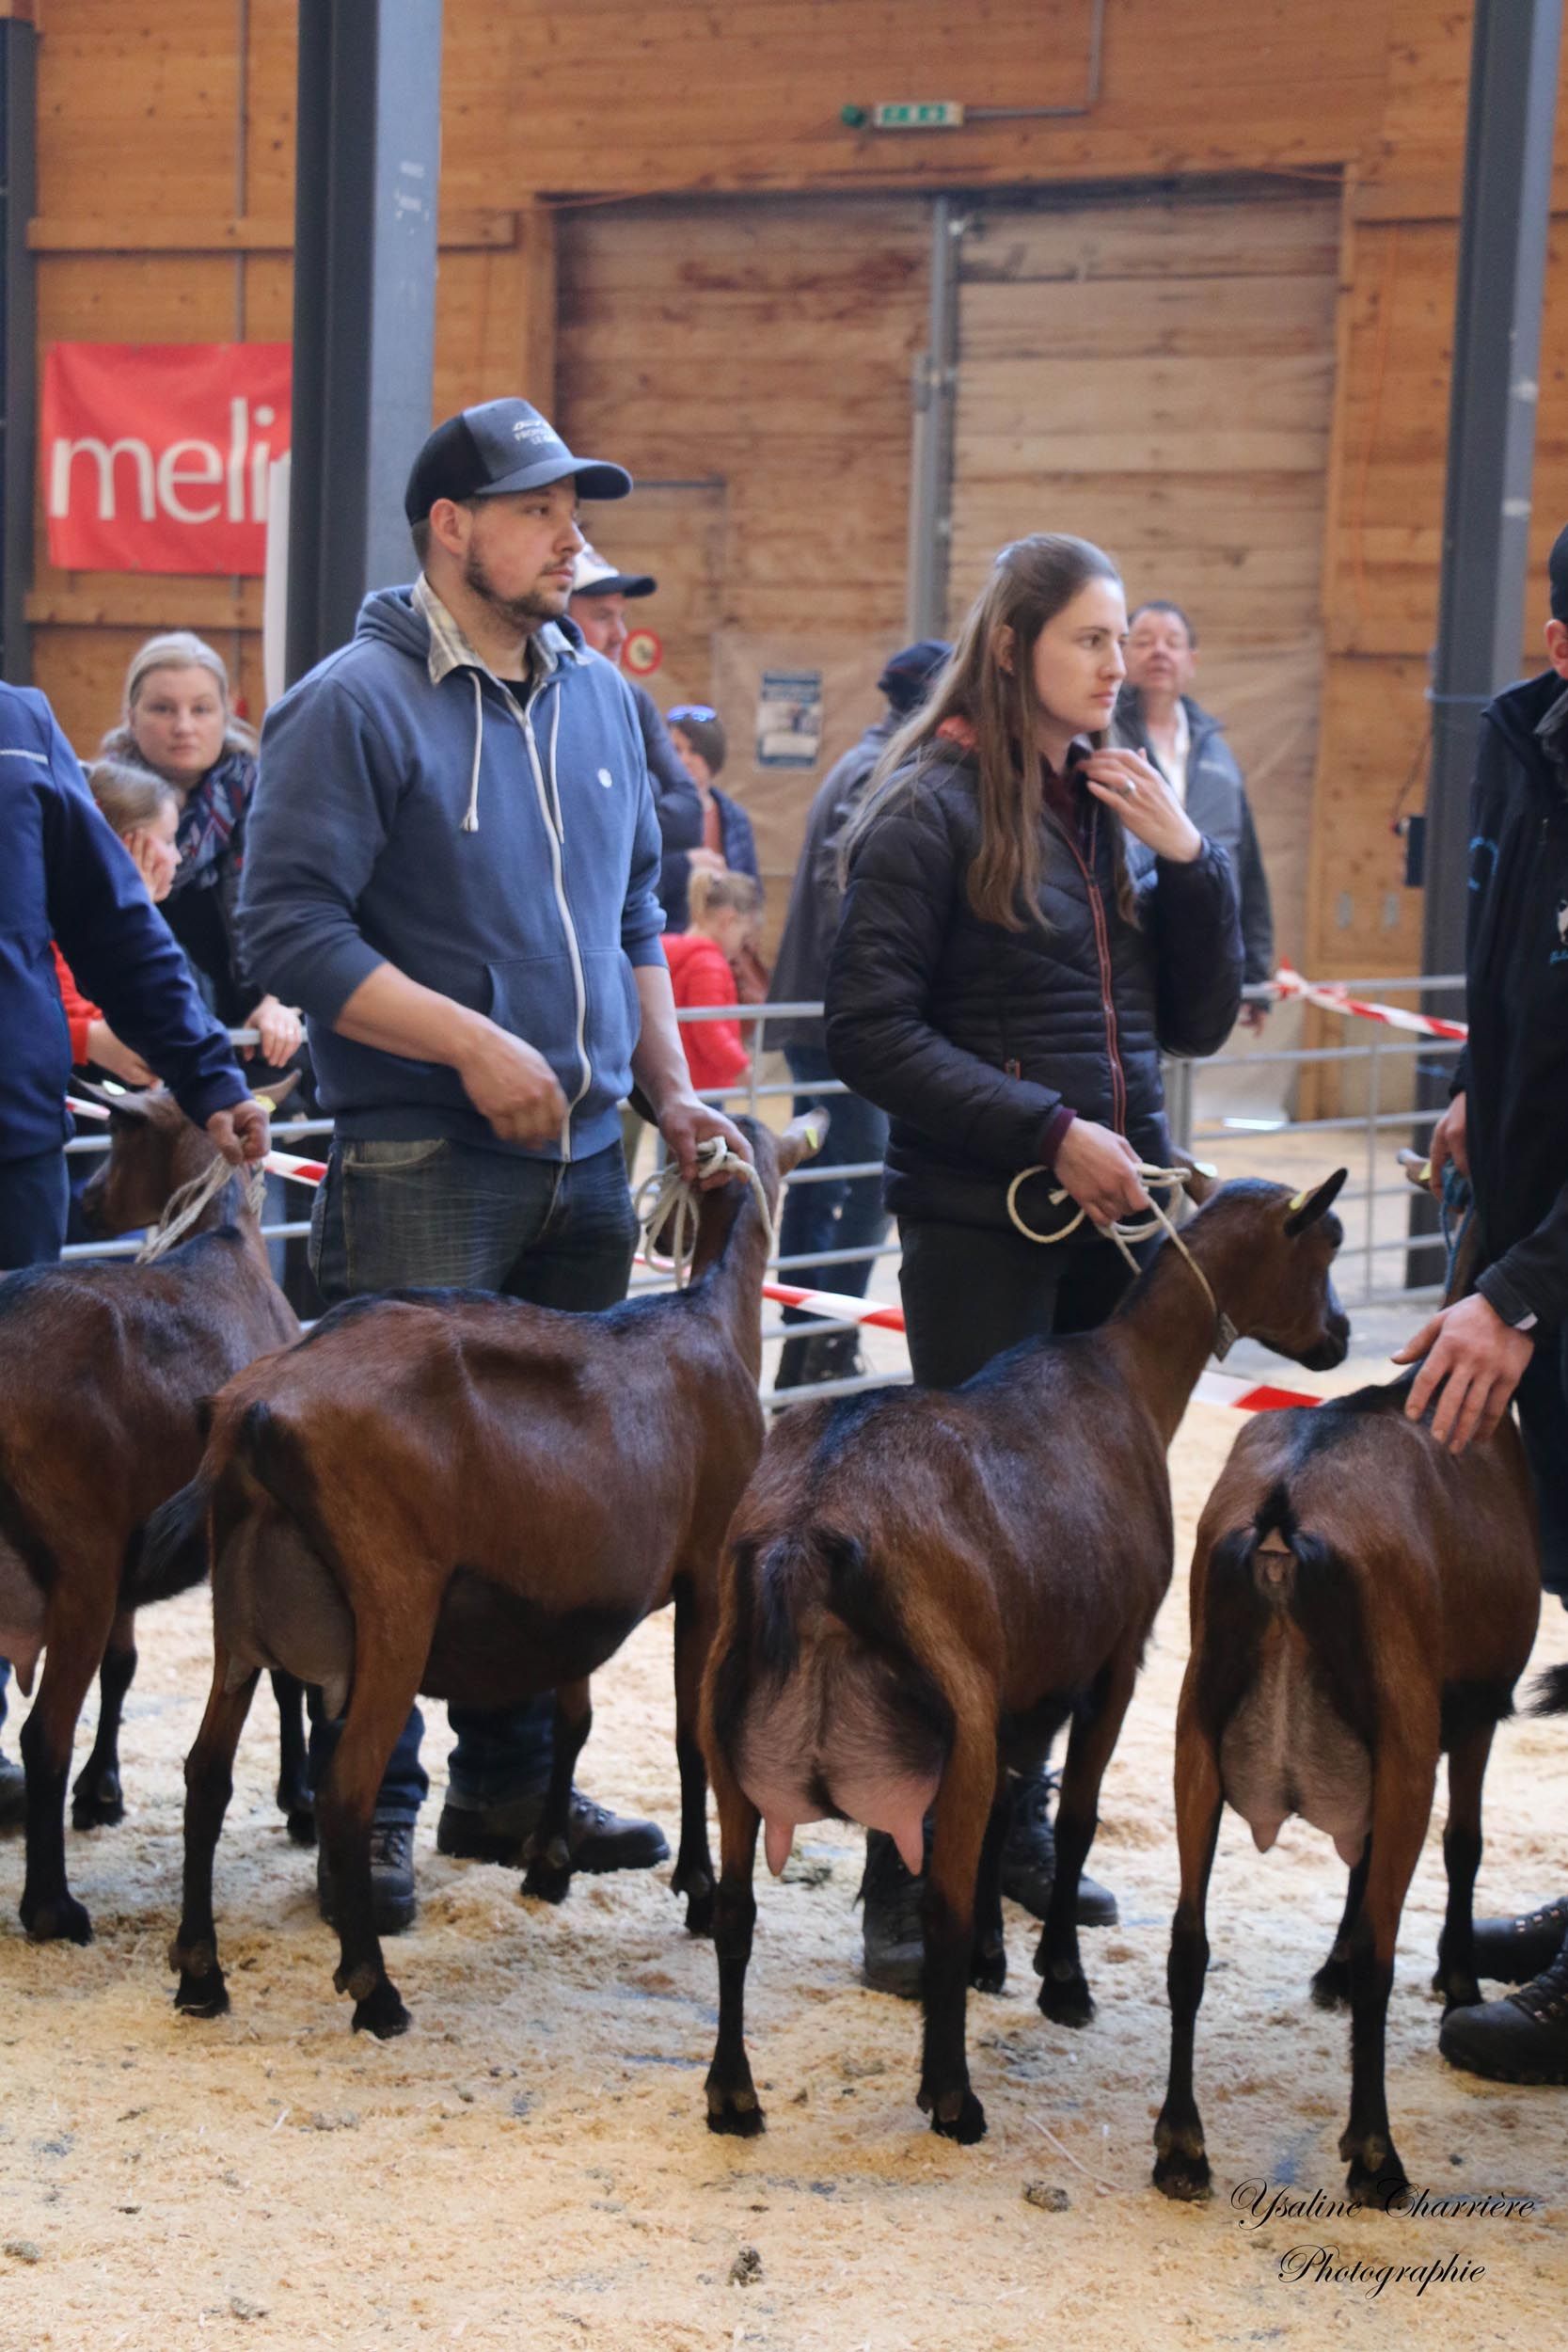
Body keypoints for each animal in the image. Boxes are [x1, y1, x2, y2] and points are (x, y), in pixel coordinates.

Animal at [0, 1081, 304, 1945]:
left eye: (125, 1134)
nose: (89, 1200)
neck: (228, 1243)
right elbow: (288, 1681)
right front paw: (300, 1799)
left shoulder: (132, 1558)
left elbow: (124, 1665)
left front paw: (102, 1791)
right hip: (78, 1556)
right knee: (42, 1732)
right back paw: (51, 1907)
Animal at [148, 1112, 819, 2040]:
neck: (710, 1317)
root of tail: (248, 1413)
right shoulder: (707, 1577)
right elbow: (691, 1738)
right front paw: (694, 1887)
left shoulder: (573, 1599)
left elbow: (573, 1721)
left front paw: (549, 1863)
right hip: (393, 1605)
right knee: (348, 1787)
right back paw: (375, 1991)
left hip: (239, 1619)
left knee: (205, 1776)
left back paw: (201, 1976)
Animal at [700, 1172, 1350, 2146]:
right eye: (1325, 1245)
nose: (1339, 1338)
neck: (1125, 1374)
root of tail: (804, 1537)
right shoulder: (1115, 1660)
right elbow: (1074, 1817)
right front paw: (1060, 1981)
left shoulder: (1027, 1674)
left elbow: (1015, 1810)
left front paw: (993, 1961)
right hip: (953, 1725)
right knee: (937, 1897)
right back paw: (952, 2097)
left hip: (730, 1734)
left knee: (736, 1910)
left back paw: (732, 2096)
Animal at [1154, 1377, 1541, 2208]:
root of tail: (1283, 1514)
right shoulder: (1469, 1717)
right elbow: (1463, 1845)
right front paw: (1457, 1980)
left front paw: (1326, 1970)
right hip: (1402, 1738)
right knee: (1377, 1950)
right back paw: (1374, 2158)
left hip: (1194, 1730)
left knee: (1187, 1937)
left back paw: (1180, 2149)